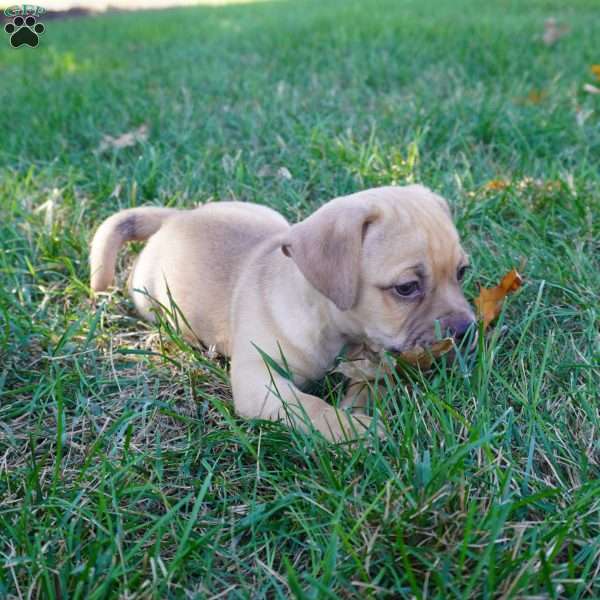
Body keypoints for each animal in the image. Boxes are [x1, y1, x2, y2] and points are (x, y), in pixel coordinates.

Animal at [90, 185, 474, 442]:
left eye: (462, 272)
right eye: (406, 288)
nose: (466, 330)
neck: (335, 330)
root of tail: (179, 217)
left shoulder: (374, 364)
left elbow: (366, 388)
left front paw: (354, 411)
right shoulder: (259, 379)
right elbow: (307, 406)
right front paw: (354, 430)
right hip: (149, 299)